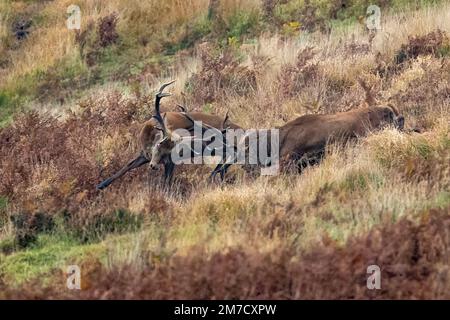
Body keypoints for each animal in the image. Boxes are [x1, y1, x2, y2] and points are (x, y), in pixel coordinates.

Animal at [96, 80, 241, 190]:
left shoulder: (170, 162)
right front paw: (101, 185)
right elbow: (125, 167)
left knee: (230, 156)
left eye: (172, 151)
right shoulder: (144, 154)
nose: (154, 166)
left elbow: (166, 182)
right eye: (158, 145)